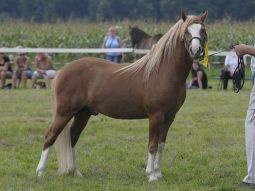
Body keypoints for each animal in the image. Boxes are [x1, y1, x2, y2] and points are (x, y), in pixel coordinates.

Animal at [35, 11, 207, 183]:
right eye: (186, 31)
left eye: (203, 30)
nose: (196, 50)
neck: (163, 72)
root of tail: (63, 70)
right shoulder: (156, 116)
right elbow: (152, 145)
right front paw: (151, 175)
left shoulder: (170, 117)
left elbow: (160, 145)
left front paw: (158, 173)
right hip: (64, 112)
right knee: (50, 136)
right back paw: (40, 172)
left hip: (83, 113)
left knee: (73, 137)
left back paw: (75, 171)